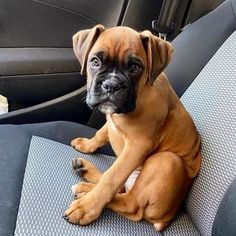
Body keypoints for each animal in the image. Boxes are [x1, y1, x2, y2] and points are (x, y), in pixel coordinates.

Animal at [64, 24, 201, 231]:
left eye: (135, 67)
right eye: (95, 61)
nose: (111, 85)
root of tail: (167, 218)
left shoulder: (137, 146)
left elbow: (112, 177)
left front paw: (87, 208)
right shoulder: (111, 124)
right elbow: (101, 134)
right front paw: (87, 144)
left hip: (167, 161)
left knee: (130, 202)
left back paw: (86, 194)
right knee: (122, 189)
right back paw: (85, 173)